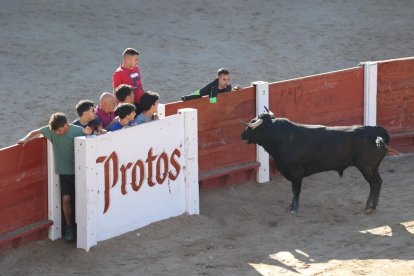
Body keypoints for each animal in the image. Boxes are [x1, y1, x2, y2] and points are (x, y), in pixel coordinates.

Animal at [241, 110, 390, 213]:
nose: (242, 134)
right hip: (372, 167)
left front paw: (294, 209)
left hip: (366, 167)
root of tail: (378, 132)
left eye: (253, 124)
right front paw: (291, 206)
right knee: (378, 182)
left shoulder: (296, 172)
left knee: (374, 184)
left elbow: (296, 190)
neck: (279, 137)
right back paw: (372, 205)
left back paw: (369, 207)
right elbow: (294, 191)